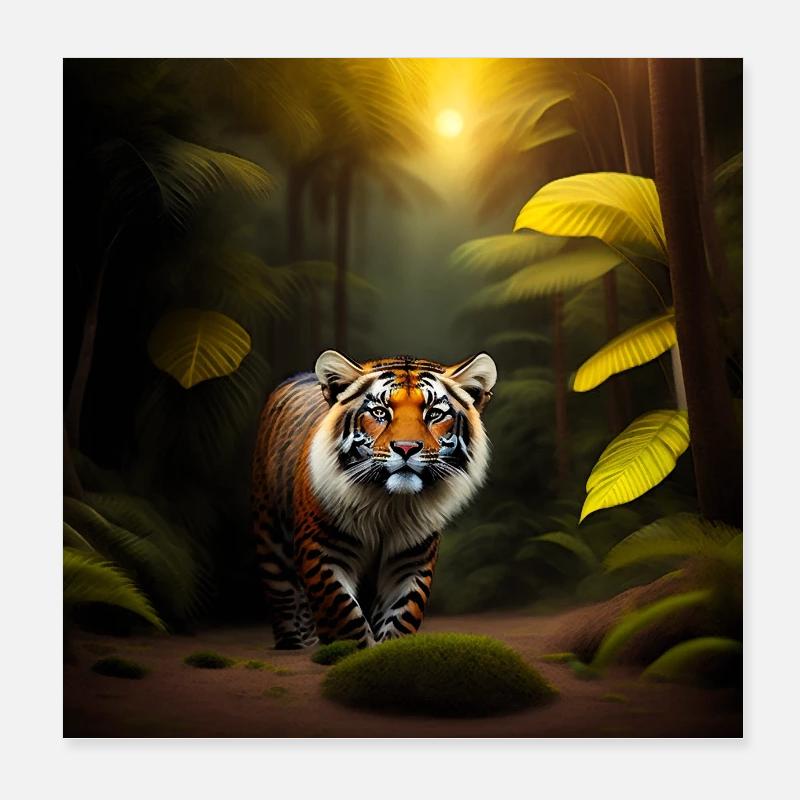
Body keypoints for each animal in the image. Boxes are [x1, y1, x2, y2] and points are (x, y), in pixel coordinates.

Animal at [250, 350, 497, 649]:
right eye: (380, 412)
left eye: (434, 414)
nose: (406, 448)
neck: (388, 504)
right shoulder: (321, 549)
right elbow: (344, 614)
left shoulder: (410, 559)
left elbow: (403, 615)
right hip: (270, 538)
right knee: (284, 596)